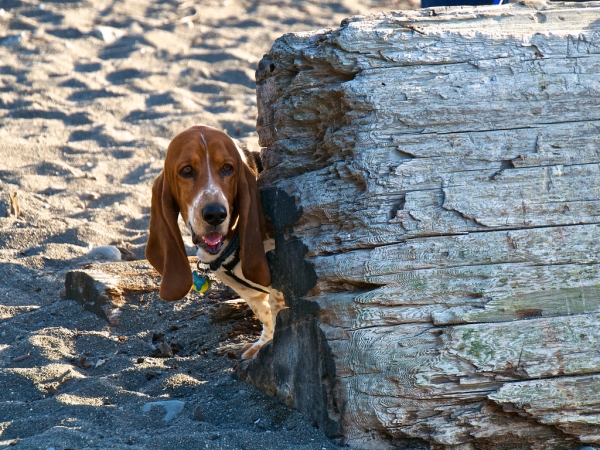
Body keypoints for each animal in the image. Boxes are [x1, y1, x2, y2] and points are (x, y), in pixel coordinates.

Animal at [146, 124, 284, 358]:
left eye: (228, 168)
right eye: (187, 170)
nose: (215, 214)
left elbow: (278, 312)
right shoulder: (250, 294)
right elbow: (265, 315)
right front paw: (264, 343)